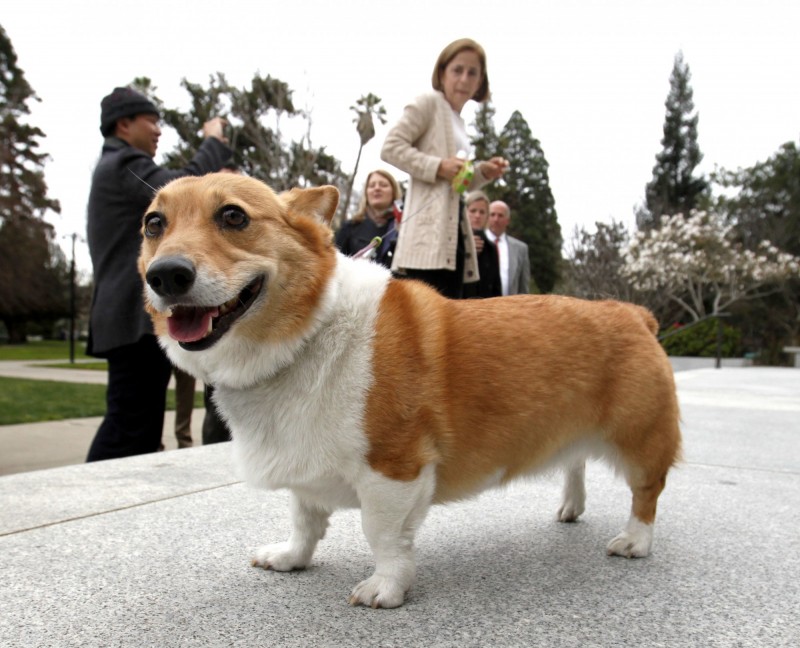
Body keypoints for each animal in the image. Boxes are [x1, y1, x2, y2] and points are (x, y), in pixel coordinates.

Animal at [138, 172, 680, 608]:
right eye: (153, 224)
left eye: (233, 216)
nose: (165, 275)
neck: (307, 334)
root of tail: (633, 312)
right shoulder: (307, 465)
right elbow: (304, 520)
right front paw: (290, 558)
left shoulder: (393, 469)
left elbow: (382, 535)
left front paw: (386, 589)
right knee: (574, 461)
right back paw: (571, 507)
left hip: (640, 437)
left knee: (646, 493)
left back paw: (635, 541)